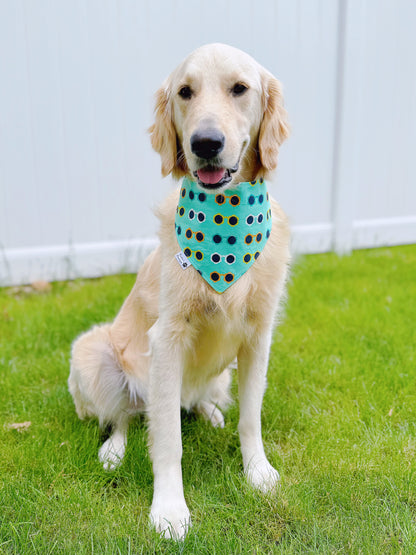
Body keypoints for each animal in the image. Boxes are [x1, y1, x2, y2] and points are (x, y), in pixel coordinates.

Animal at [68, 43, 290, 540]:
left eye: (239, 88)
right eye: (185, 92)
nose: (205, 143)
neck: (225, 221)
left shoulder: (258, 336)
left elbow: (251, 418)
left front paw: (258, 473)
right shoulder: (167, 338)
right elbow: (166, 438)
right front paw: (169, 509)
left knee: (194, 400)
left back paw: (209, 411)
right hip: (92, 353)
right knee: (127, 416)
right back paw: (113, 451)